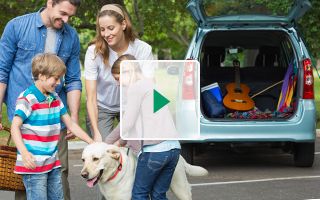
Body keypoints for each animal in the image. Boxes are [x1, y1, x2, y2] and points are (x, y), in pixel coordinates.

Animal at [81, 142, 209, 200]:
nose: (83, 175)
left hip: (180, 189)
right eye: (83, 160)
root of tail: (181, 157)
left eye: (95, 159)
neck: (115, 173)